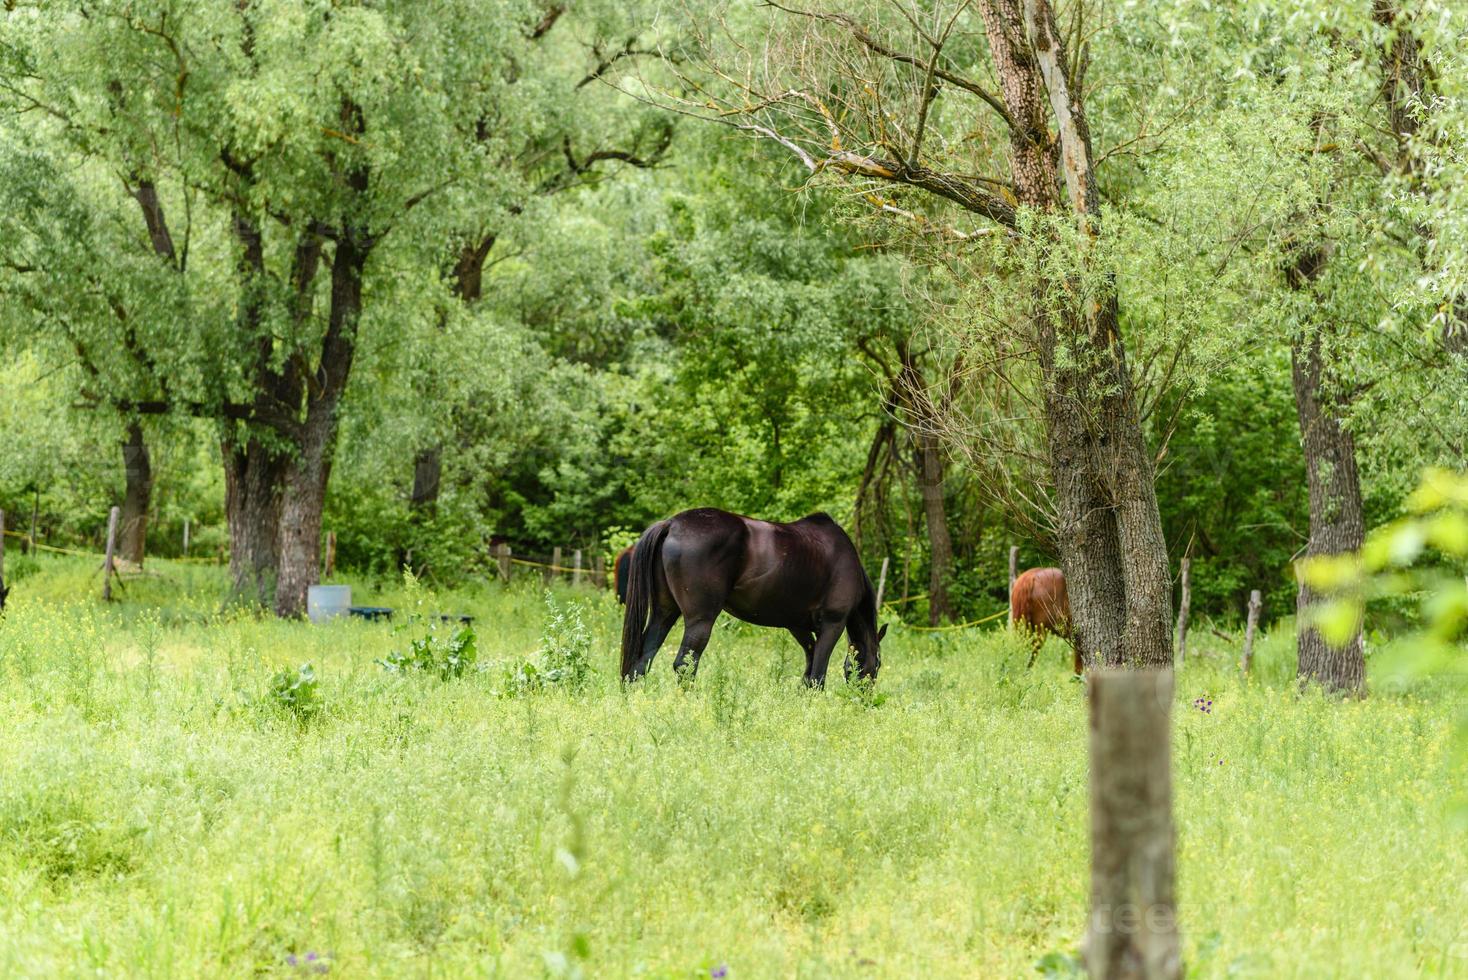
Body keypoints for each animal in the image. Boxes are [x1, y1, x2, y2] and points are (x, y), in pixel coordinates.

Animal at [619, 510, 880, 686]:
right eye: (878, 664)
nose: (864, 698)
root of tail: (672, 524)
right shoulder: (832, 624)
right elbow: (817, 675)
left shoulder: (799, 627)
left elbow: (809, 667)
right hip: (700, 620)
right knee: (684, 665)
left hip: (664, 613)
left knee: (641, 660)